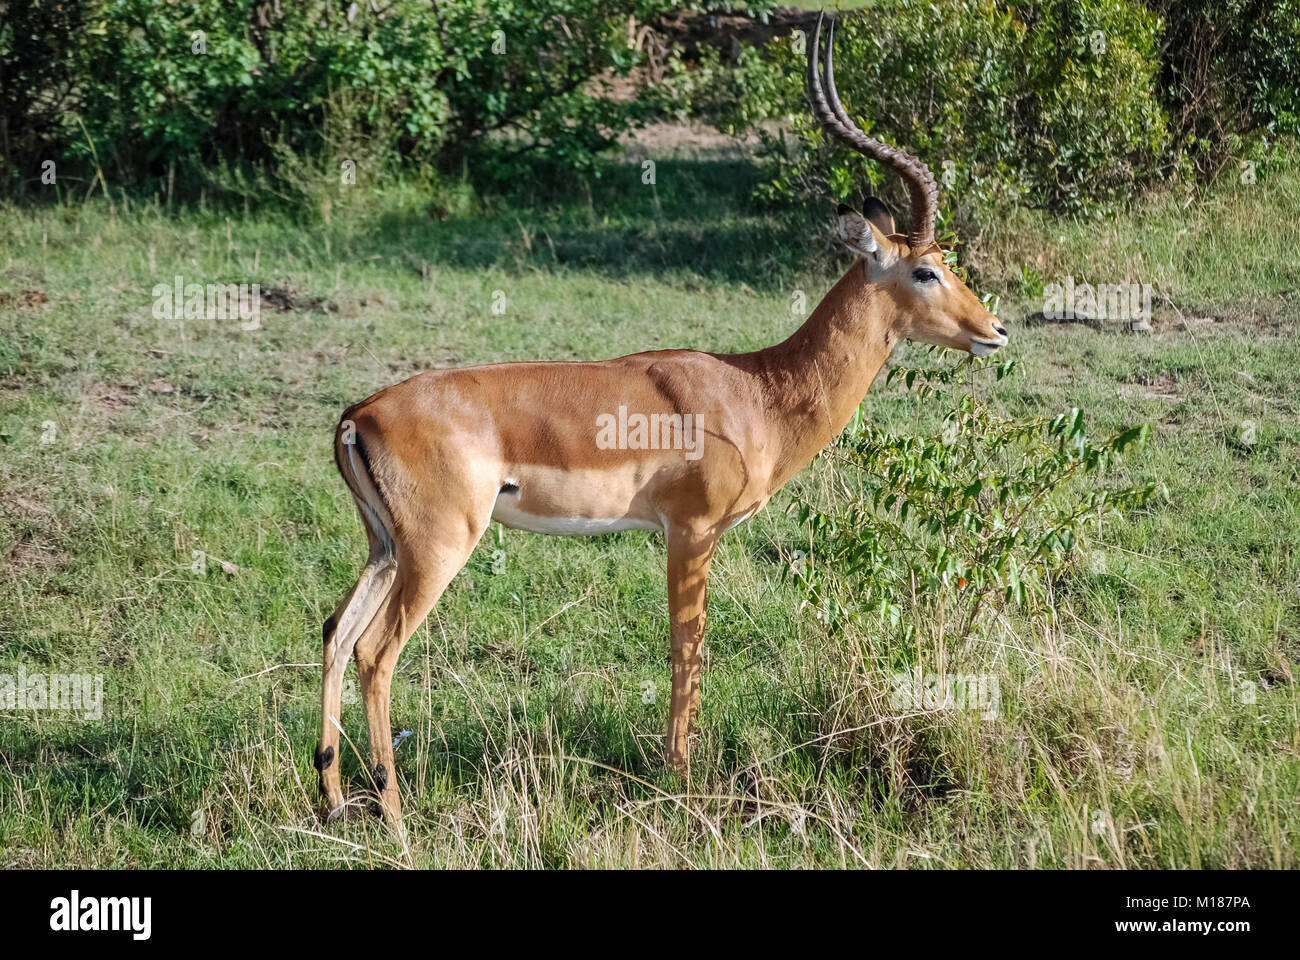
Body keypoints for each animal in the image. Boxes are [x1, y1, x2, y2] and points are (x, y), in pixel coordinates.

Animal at [315, 12, 1008, 824]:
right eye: (926, 269)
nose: (995, 330)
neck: (757, 390)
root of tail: (360, 413)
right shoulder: (691, 530)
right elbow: (688, 649)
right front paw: (681, 777)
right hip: (438, 548)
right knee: (375, 652)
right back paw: (393, 813)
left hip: (384, 547)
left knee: (335, 633)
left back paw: (333, 797)